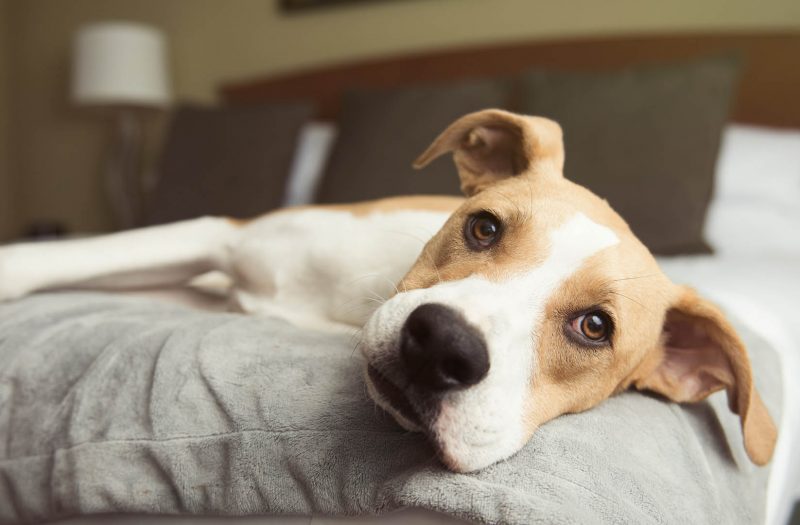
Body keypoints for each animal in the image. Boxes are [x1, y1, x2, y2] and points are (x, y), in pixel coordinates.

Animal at [0, 109, 776, 470]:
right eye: (484, 227)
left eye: (594, 327)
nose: (441, 346)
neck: (347, 303)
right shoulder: (218, 235)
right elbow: (58, 259)